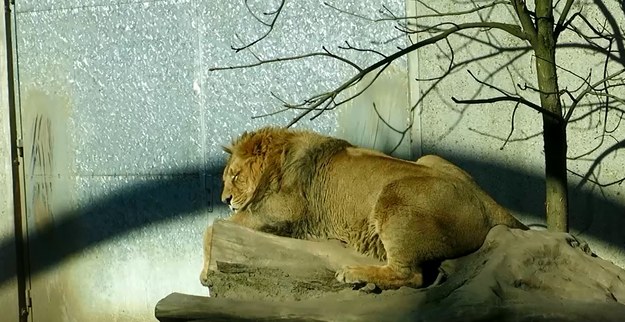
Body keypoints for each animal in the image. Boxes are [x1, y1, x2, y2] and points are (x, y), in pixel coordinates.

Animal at [200, 126, 528, 290]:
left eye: (235, 176)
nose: (225, 200)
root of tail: (488, 202)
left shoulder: (281, 213)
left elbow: (210, 228)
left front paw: (204, 272)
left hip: (393, 194)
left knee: (411, 276)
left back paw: (354, 273)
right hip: (429, 159)